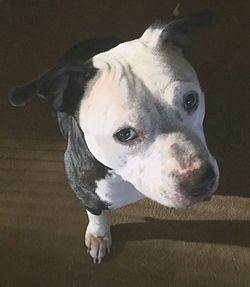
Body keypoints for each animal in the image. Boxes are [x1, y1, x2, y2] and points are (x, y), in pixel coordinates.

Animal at [8, 9, 219, 266]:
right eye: (125, 134)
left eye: (191, 100)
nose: (200, 181)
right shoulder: (86, 193)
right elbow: (97, 215)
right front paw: (99, 236)